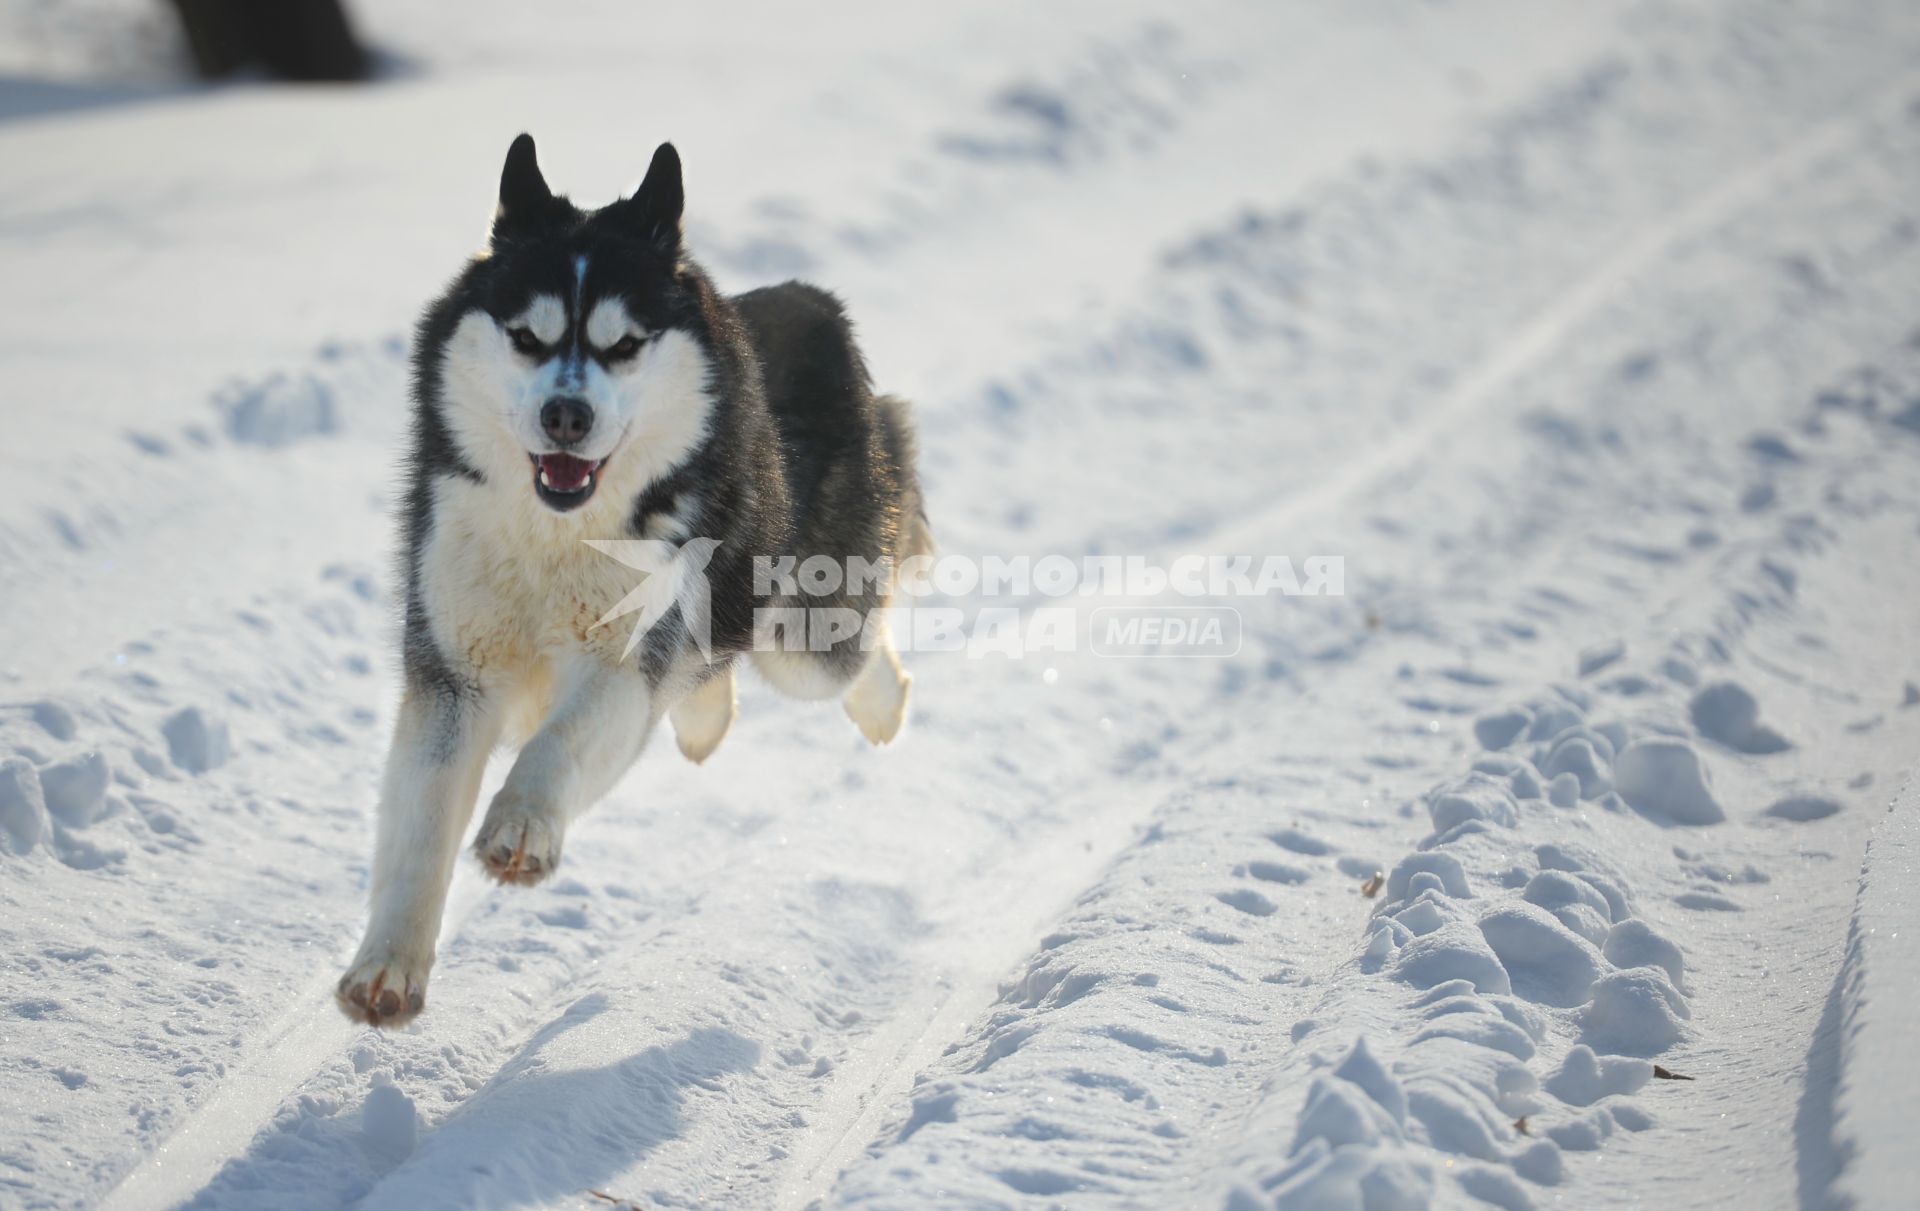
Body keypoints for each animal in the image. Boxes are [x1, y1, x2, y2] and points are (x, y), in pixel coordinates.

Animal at [337, 135, 929, 1021]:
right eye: (528, 337)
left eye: (623, 345)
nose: (566, 416)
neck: (555, 534)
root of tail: (808, 299)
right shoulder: (453, 675)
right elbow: (420, 827)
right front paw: (387, 966)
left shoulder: (625, 656)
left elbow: (556, 743)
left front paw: (521, 825)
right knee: (708, 674)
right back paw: (706, 720)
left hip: (803, 634)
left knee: (849, 649)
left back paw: (884, 705)